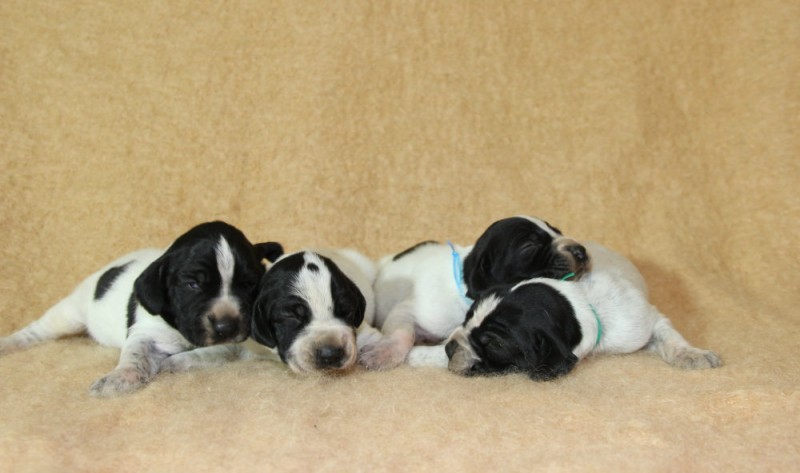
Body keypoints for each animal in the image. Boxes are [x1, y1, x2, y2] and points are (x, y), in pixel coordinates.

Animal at [0, 220, 282, 394]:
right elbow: (134, 355)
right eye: (192, 284)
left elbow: (213, 353)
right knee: (39, 330)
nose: (226, 326)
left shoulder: (238, 343)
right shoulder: (147, 332)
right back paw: (10, 343)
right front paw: (120, 378)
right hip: (70, 312)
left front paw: (178, 362)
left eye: (249, 284)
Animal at [358, 215, 588, 368]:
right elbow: (403, 332)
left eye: (558, 231)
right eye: (530, 246)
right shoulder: (409, 310)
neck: (465, 283)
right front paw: (383, 353)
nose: (581, 251)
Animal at [412, 242, 724, 378]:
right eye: (468, 316)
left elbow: (670, 335)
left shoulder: (641, 321)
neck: (582, 299)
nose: (451, 347)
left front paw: (693, 354)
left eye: (494, 343)